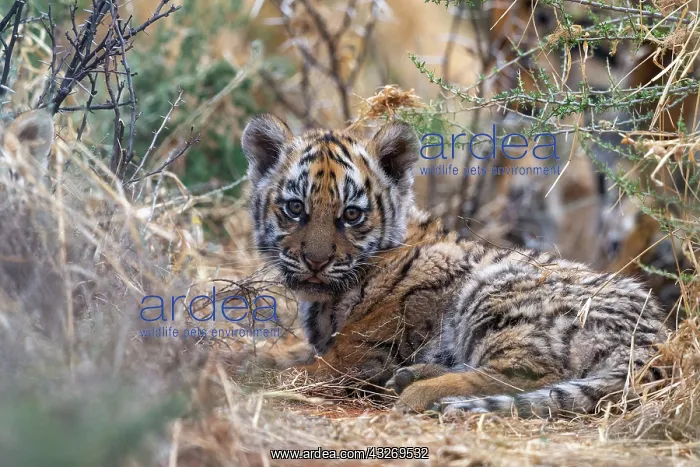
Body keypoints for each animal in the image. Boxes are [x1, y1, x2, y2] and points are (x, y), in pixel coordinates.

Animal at [241, 114, 670, 417]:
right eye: (295, 208)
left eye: (351, 214)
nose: (316, 261)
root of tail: (657, 339)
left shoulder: (357, 353)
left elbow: (292, 372)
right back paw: (410, 378)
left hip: (493, 294)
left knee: (526, 376)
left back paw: (417, 392)